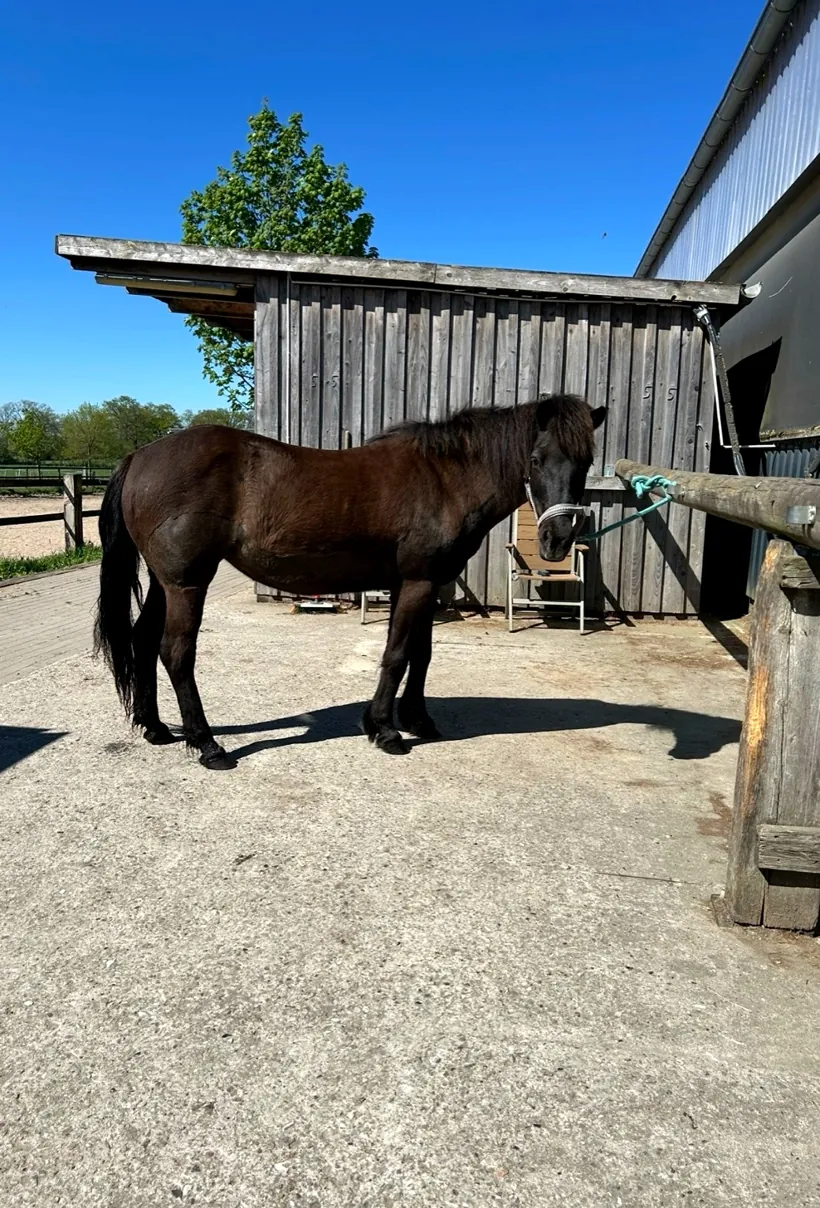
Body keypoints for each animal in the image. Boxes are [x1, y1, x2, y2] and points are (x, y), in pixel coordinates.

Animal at [94, 394, 606, 769]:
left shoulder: (421, 585)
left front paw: (417, 720)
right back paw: (207, 745)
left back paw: (156, 728)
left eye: (584, 461)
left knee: (143, 640)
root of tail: (140, 455)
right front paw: (385, 729)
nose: (558, 539)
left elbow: (421, 654)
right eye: (536, 459)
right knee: (176, 652)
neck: (444, 478)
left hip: (164, 582)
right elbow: (397, 655)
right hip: (187, 583)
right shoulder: (418, 582)